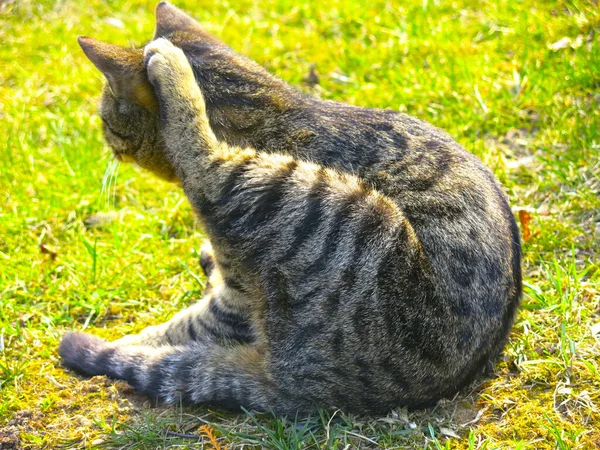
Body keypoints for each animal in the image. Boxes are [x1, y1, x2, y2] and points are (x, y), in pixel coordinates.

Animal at [58, 1, 524, 414]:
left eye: (106, 119)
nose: (106, 142)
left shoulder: (235, 298)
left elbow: (174, 329)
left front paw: (125, 343)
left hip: (297, 196)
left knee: (203, 156)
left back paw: (174, 70)